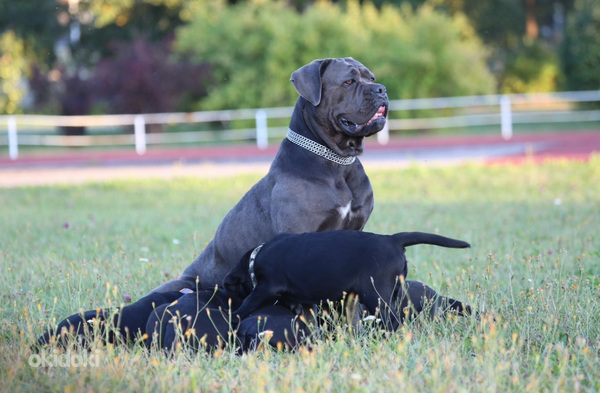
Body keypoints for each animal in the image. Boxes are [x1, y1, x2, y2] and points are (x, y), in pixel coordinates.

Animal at [223, 230, 472, 330]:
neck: (254, 259)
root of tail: (392, 240)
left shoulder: (266, 286)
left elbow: (250, 302)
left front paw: (234, 315)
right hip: (391, 292)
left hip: (376, 294)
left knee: (393, 320)